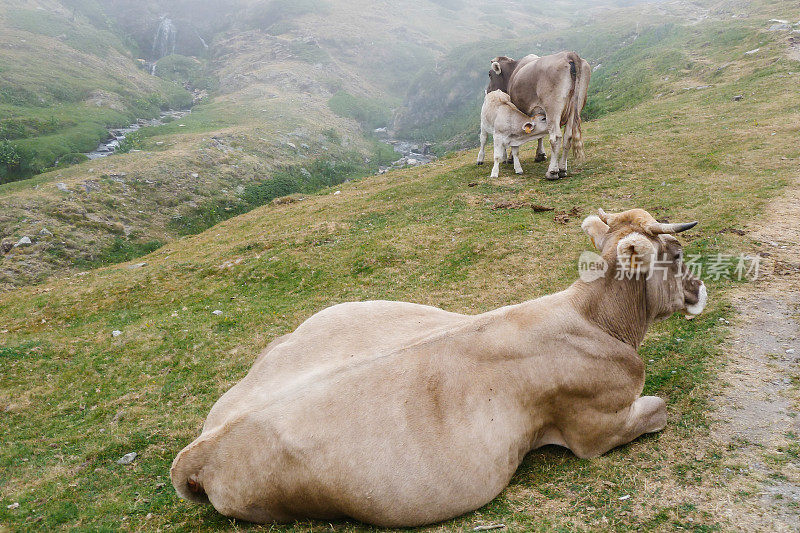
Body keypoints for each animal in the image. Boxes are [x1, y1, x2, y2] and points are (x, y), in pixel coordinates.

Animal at [173, 207, 708, 524]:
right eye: (677, 252)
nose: (699, 287)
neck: (595, 320)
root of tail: (200, 448)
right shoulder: (596, 429)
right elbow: (660, 408)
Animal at [484, 52, 592, 181]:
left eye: (490, 74)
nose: (488, 91)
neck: (513, 70)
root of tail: (568, 54)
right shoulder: (539, 112)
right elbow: (540, 134)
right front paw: (540, 155)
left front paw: (511, 158)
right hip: (577, 105)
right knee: (568, 137)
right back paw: (562, 169)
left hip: (553, 108)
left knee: (555, 137)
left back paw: (552, 172)